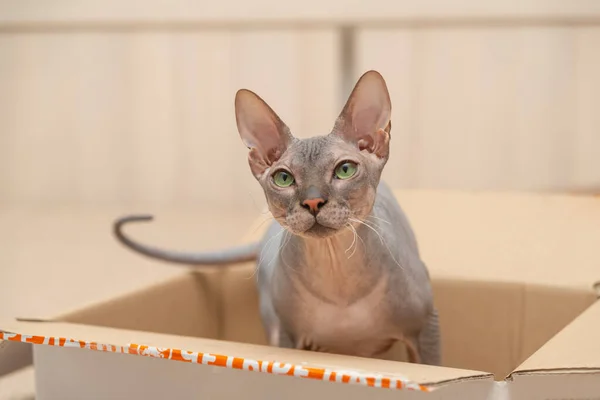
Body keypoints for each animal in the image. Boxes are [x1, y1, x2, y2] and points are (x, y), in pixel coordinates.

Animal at [113, 69, 440, 366]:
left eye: (345, 170)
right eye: (283, 178)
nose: (312, 201)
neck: (338, 278)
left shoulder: (427, 328)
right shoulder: (288, 340)